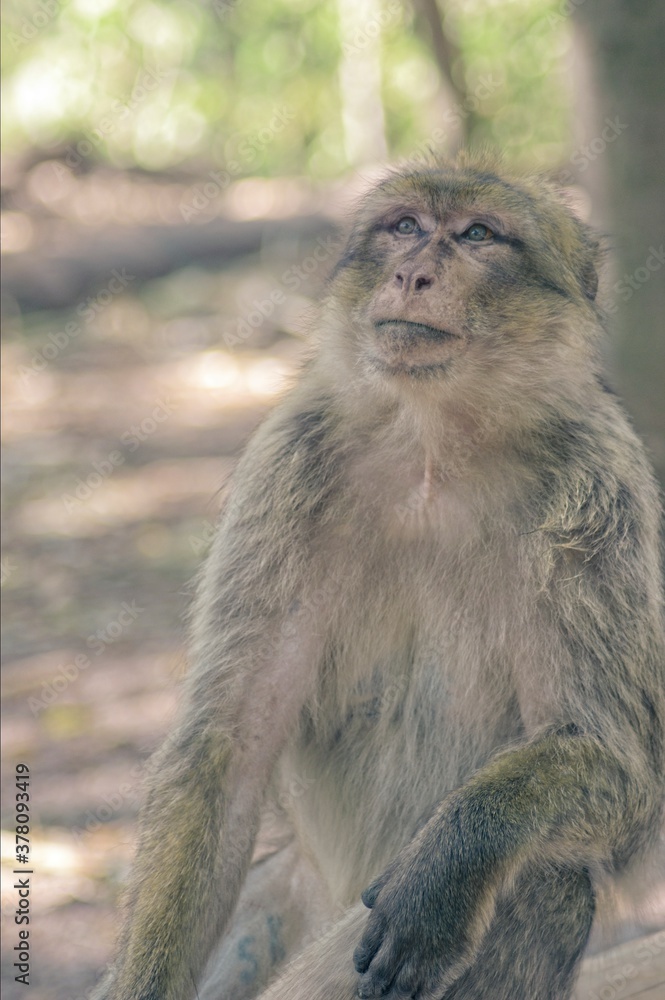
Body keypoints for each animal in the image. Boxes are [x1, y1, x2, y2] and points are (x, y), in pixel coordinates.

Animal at [94, 154, 665, 1000]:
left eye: (477, 235)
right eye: (403, 226)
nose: (411, 273)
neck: (434, 445)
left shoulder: (598, 493)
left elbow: (621, 767)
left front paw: (451, 864)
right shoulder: (288, 464)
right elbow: (227, 749)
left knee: (543, 884)